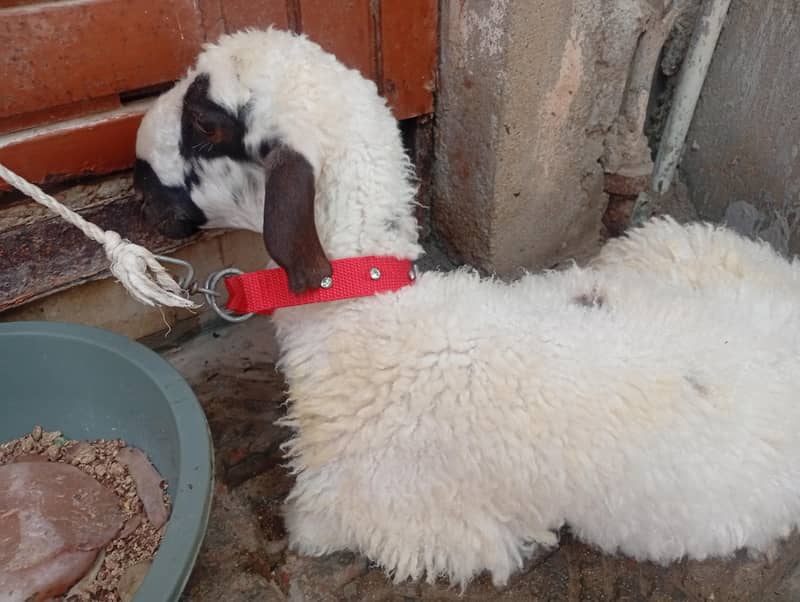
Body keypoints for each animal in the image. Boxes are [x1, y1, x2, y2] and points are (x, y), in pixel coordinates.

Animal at [134, 27, 800, 589]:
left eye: (204, 121)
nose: (136, 172)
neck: (369, 312)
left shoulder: (392, 516)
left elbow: (310, 527)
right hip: (663, 248)